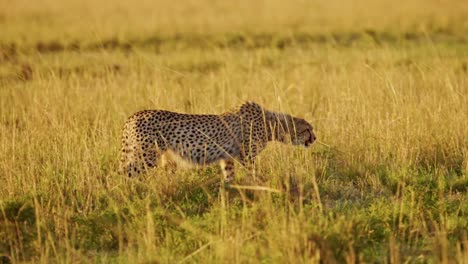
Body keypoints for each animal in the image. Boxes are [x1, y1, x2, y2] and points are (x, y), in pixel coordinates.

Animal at [119, 102, 316, 183]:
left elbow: (229, 175)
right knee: (124, 174)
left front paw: (229, 190)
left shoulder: (227, 157)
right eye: (308, 129)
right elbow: (253, 173)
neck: (270, 124)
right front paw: (259, 184)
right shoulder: (246, 155)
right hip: (145, 156)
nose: (315, 138)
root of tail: (133, 115)